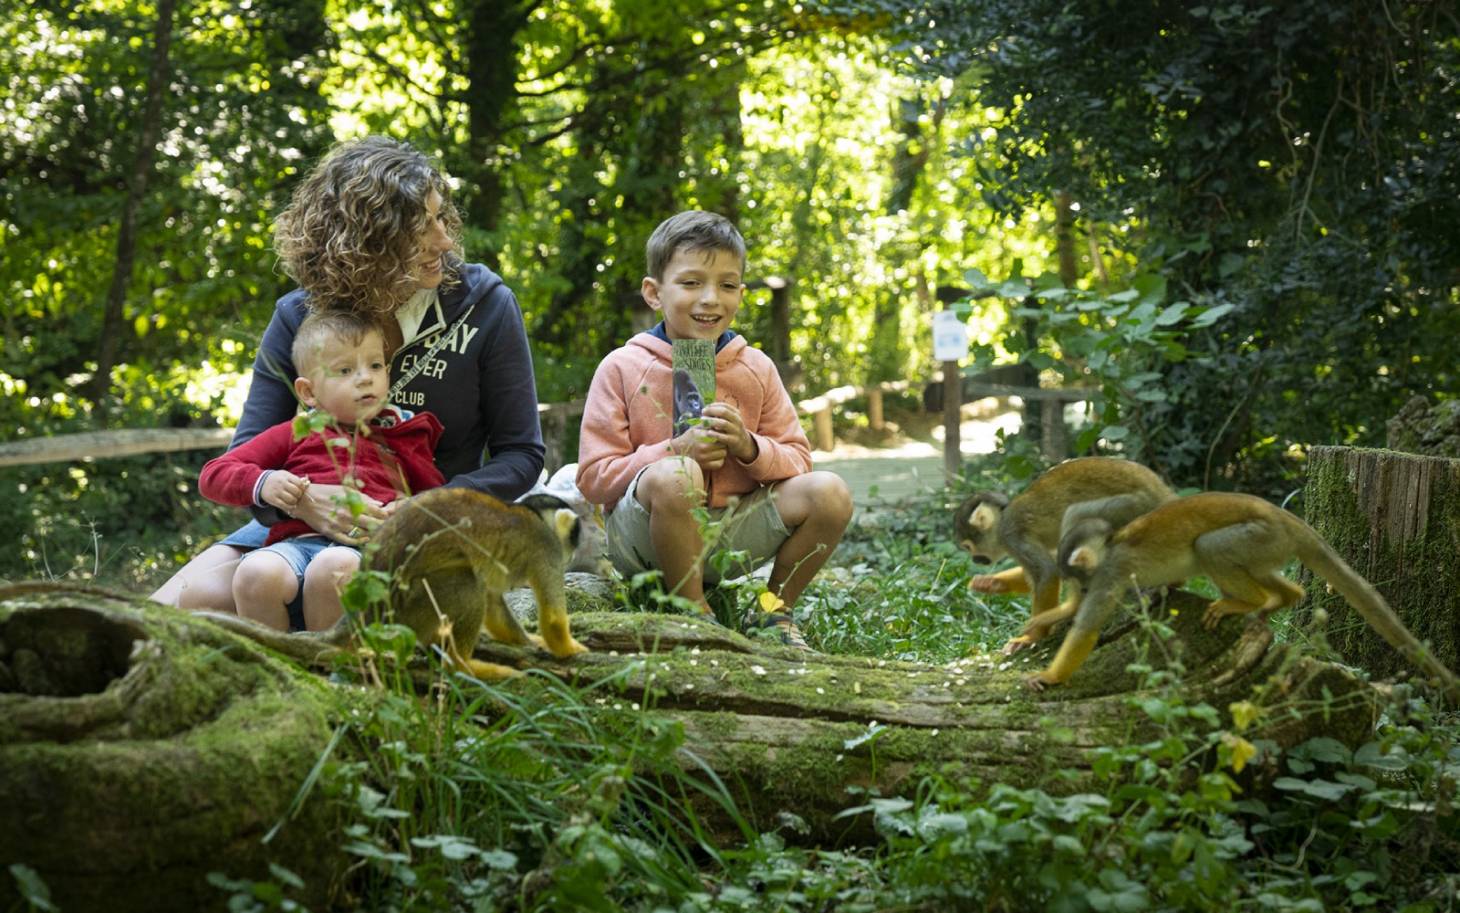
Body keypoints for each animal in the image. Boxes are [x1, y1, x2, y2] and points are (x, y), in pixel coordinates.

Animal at [198, 490, 586, 677]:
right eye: (574, 538)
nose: (575, 552)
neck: (537, 519)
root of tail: (364, 612)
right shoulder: (547, 551)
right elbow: (553, 618)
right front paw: (571, 649)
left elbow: (495, 605)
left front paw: (528, 641)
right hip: (406, 610)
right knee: (464, 582)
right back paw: (465, 666)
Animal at [957, 458, 1173, 651]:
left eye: (968, 546)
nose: (974, 559)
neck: (1002, 520)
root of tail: (1162, 492)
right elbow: (1051, 565)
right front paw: (991, 583)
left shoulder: (1011, 534)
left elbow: (1048, 572)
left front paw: (1032, 636)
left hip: (1131, 506)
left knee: (1074, 514)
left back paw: (1072, 606)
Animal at [1033, 490, 1460, 698]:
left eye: (1084, 582)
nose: (1080, 590)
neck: (1109, 546)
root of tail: (1292, 521)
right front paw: (1041, 623)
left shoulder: (1111, 571)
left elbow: (1088, 627)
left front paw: (1049, 676)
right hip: (1271, 545)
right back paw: (1286, 596)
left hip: (1261, 536)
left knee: (1208, 547)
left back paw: (1250, 601)